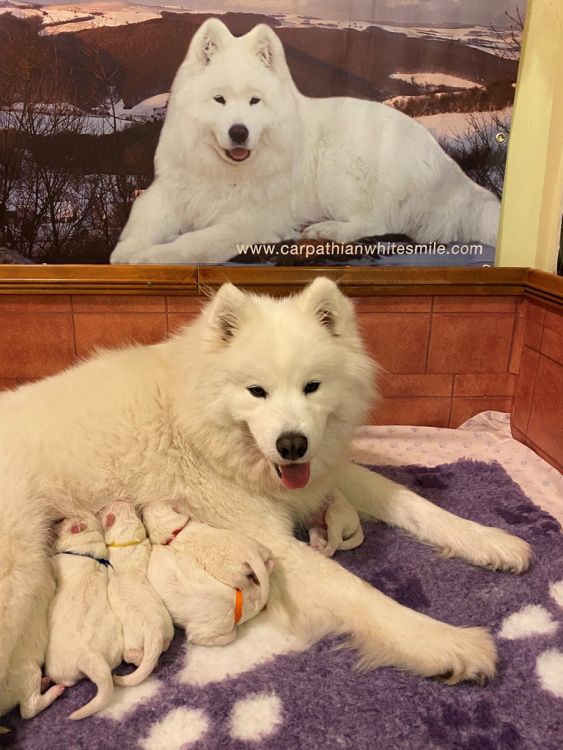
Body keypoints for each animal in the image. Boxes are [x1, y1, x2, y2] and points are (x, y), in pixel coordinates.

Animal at [45, 516, 123, 724]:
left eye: (62, 521)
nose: (55, 520)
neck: (86, 550)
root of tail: (89, 655)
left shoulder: (57, 562)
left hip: (57, 667)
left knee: (66, 681)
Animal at [100, 506, 173, 688]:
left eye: (104, 509)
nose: (100, 509)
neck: (126, 539)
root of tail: (155, 630)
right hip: (168, 628)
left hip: (133, 640)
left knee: (134, 655)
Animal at [111, 17, 502, 266]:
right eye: (219, 100)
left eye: (255, 101)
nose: (239, 132)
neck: (225, 172)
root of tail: (451, 171)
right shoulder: (171, 193)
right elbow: (140, 219)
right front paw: (127, 250)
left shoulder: (249, 221)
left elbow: (193, 243)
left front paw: (150, 256)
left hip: (339, 165)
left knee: (377, 221)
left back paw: (325, 229)